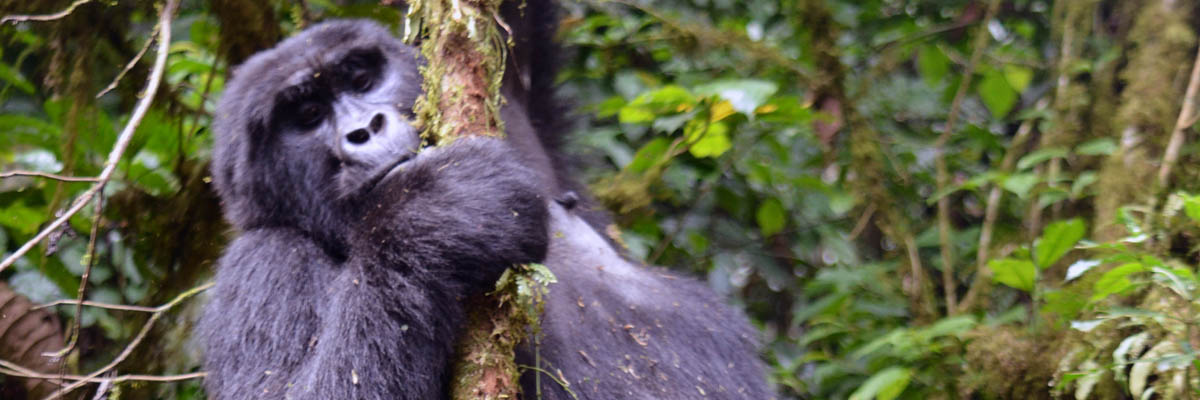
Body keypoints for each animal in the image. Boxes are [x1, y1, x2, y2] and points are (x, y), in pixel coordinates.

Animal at [198, 16, 773, 400]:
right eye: (308, 114)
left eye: (361, 79)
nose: (365, 130)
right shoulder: (263, 261)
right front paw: (435, 214)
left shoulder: (515, 106)